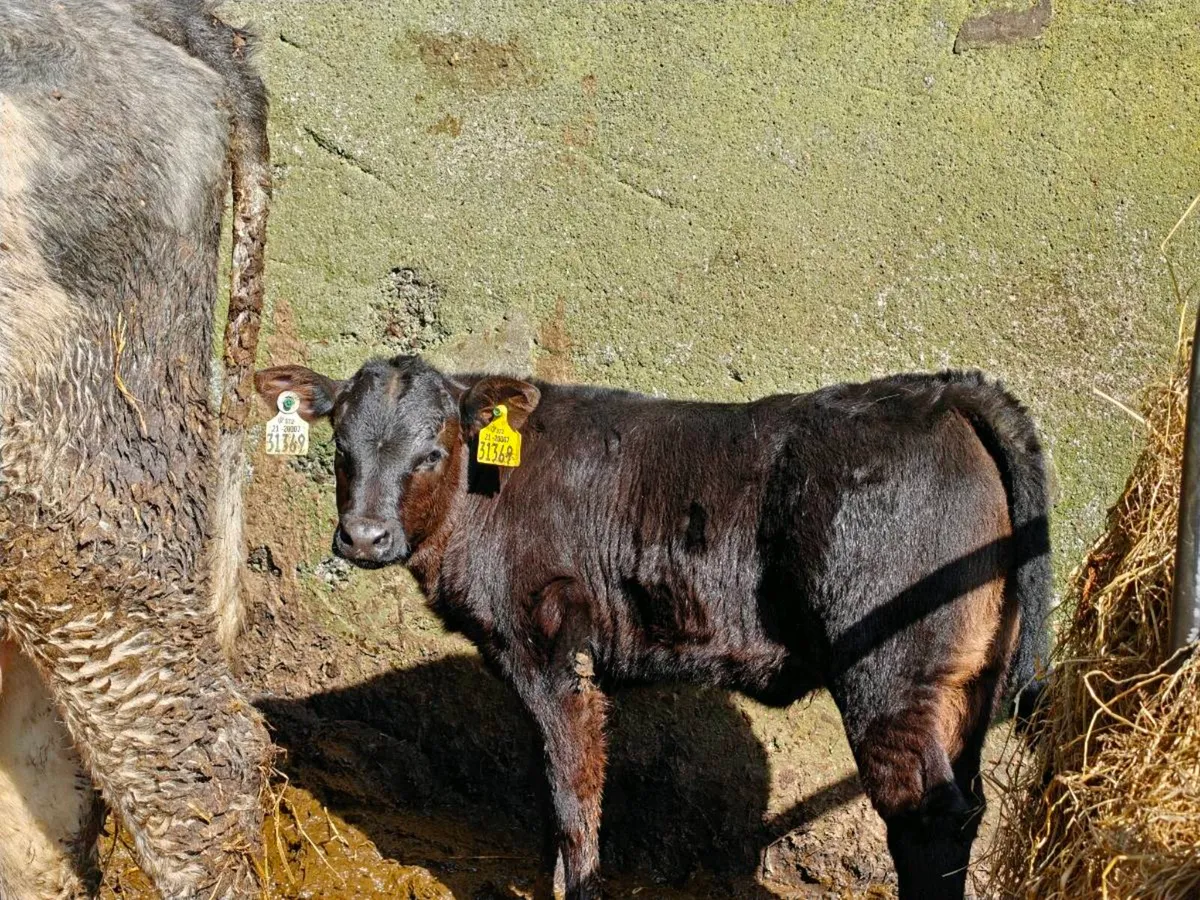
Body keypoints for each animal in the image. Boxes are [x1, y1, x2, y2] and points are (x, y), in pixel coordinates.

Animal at [255, 356, 1053, 900]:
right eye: (342, 448)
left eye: (431, 451)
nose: (364, 537)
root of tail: (941, 389)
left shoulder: (550, 649)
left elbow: (573, 791)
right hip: (966, 682)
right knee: (965, 809)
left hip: (888, 672)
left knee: (927, 818)